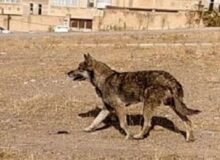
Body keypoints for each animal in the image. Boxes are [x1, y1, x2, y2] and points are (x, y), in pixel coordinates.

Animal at [66, 53, 199, 141]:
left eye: (79, 68)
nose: (68, 73)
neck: (104, 78)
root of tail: (171, 79)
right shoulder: (106, 109)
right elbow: (95, 121)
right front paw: (89, 128)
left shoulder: (120, 107)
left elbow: (123, 124)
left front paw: (128, 135)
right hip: (175, 107)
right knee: (188, 121)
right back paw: (190, 138)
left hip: (147, 106)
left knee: (147, 124)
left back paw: (138, 136)